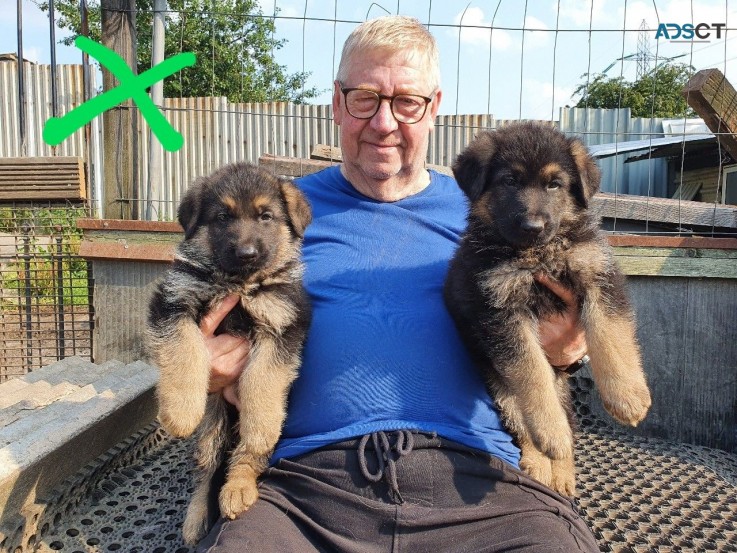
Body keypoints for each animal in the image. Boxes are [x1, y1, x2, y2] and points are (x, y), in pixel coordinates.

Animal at [147, 162, 310, 540]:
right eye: (223, 217)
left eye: (266, 216)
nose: (247, 253)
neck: (239, 283)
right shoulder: (174, 303)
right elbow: (185, 352)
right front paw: (179, 412)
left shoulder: (283, 324)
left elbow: (261, 380)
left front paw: (260, 427)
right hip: (212, 428)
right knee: (207, 470)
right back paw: (196, 518)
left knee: (246, 455)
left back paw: (238, 488)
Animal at [442, 123, 648, 494]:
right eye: (509, 181)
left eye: (555, 184)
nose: (532, 227)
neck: (538, 253)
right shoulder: (500, 310)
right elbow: (531, 371)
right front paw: (550, 432)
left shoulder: (598, 275)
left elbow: (611, 335)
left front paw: (627, 396)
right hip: (503, 390)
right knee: (525, 426)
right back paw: (542, 461)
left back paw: (563, 473)